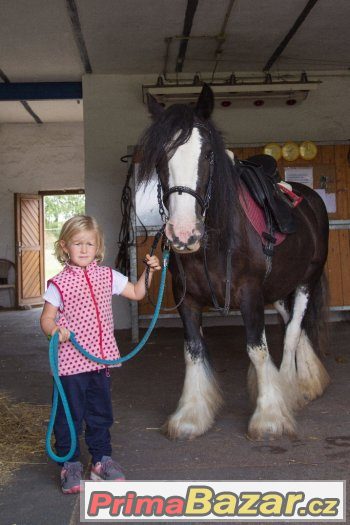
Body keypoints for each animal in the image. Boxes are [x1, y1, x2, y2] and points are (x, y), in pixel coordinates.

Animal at [137, 84, 330, 440]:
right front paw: (191, 415)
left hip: (306, 280)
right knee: (293, 326)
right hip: (280, 287)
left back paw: (290, 387)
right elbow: (193, 351)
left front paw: (269, 417)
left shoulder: (250, 294)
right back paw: (305, 381)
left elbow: (257, 349)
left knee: (293, 332)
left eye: (208, 155)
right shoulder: (186, 298)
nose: (184, 234)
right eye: (160, 158)